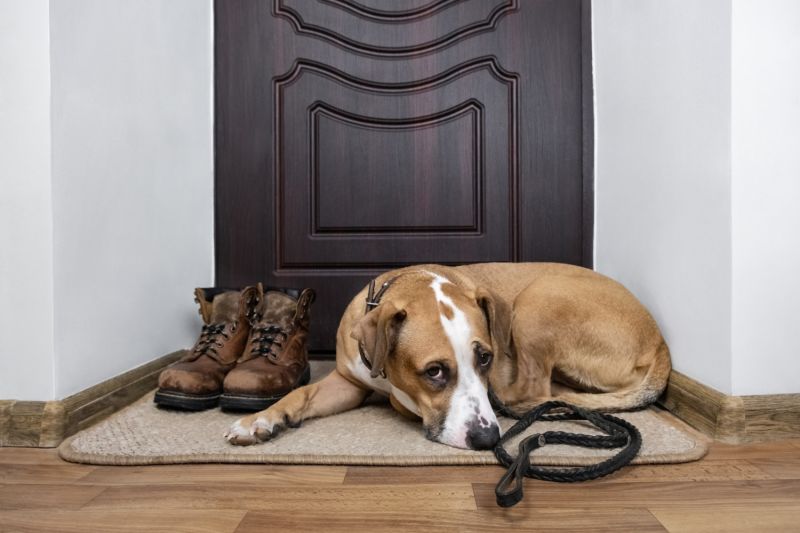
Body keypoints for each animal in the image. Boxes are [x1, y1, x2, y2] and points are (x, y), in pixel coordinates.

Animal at [223, 262, 668, 448]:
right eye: (434, 371)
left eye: (486, 358)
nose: (488, 439)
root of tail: (659, 341)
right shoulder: (347, 383)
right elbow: (300, 394)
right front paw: (261, 419)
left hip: (538, 300)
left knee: (534, 389)